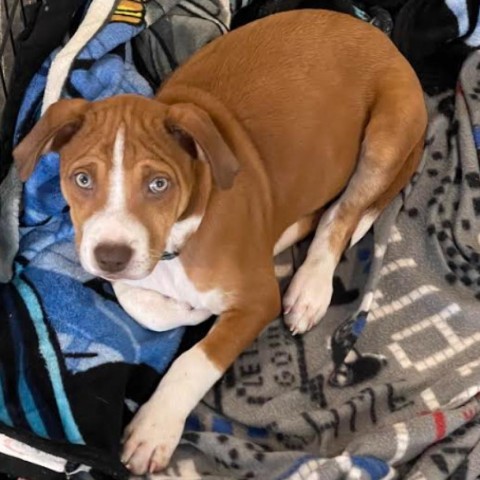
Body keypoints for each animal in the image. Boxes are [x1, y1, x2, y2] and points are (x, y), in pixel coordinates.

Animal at [13, 10, 428, 476]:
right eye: (82, 179)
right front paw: (183, 307)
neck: (178, 240)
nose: (111, 257)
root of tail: (379, 36)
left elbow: (194, 361)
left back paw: (310, 289)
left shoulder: (258, 299)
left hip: (385, 137)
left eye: (159, 184)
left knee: (342, 214)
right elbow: (138, 302)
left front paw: (155, 427)